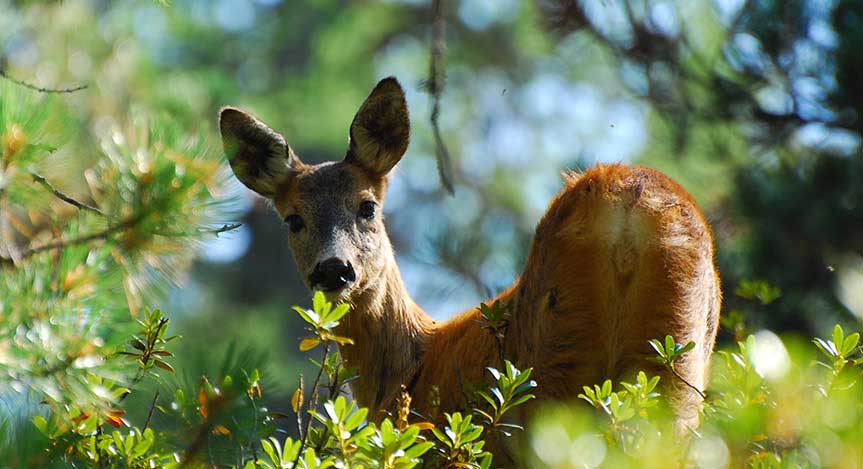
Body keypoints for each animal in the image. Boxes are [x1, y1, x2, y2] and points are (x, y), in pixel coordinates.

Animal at [221, 77, 724, 450]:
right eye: (293, 219)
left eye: (366, 207)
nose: (334, 269)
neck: (409, 369)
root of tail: (625, 205)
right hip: (675, 358)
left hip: (559, 367)